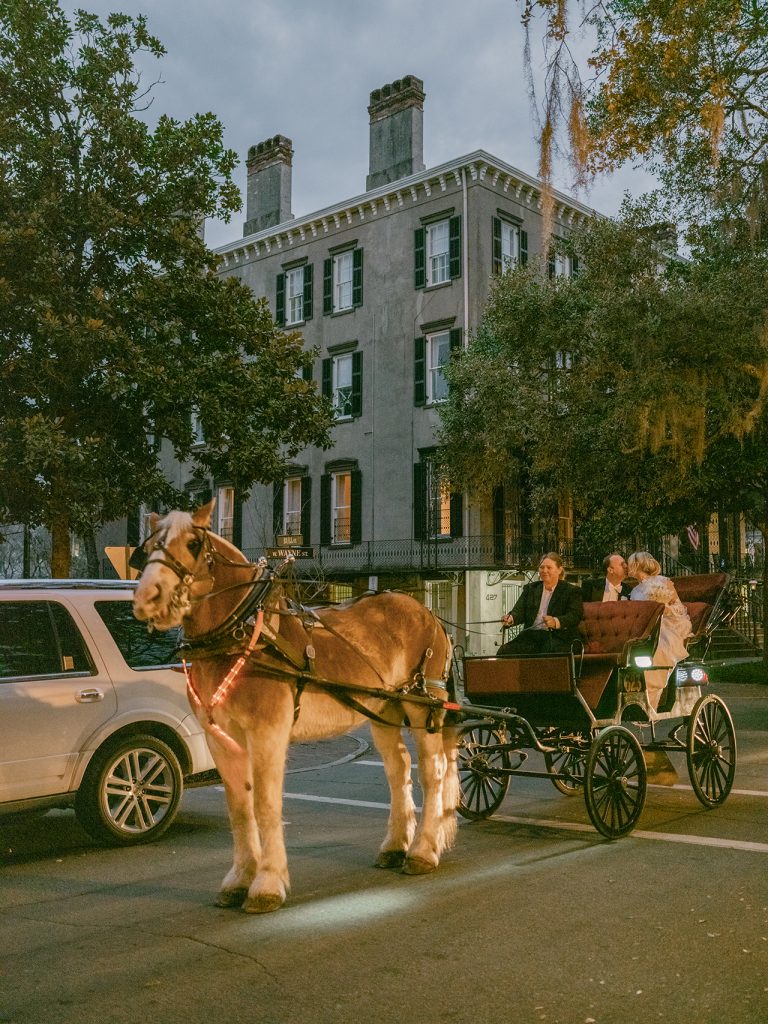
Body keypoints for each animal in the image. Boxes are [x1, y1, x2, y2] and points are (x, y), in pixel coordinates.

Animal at [131, 501, 462, 913]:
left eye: (193, 543)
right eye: (147, 547)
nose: (147, 598)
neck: (244, 634)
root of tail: (426, 612)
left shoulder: (268, 733)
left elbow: (265, 805)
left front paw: (267, 884)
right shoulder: (220, 738)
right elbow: (239, 808)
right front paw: (239, 879)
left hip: (422, 707)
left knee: (433, 773)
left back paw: (423, 852)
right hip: (384, 710)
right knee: (398, 769)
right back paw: (394, 846)